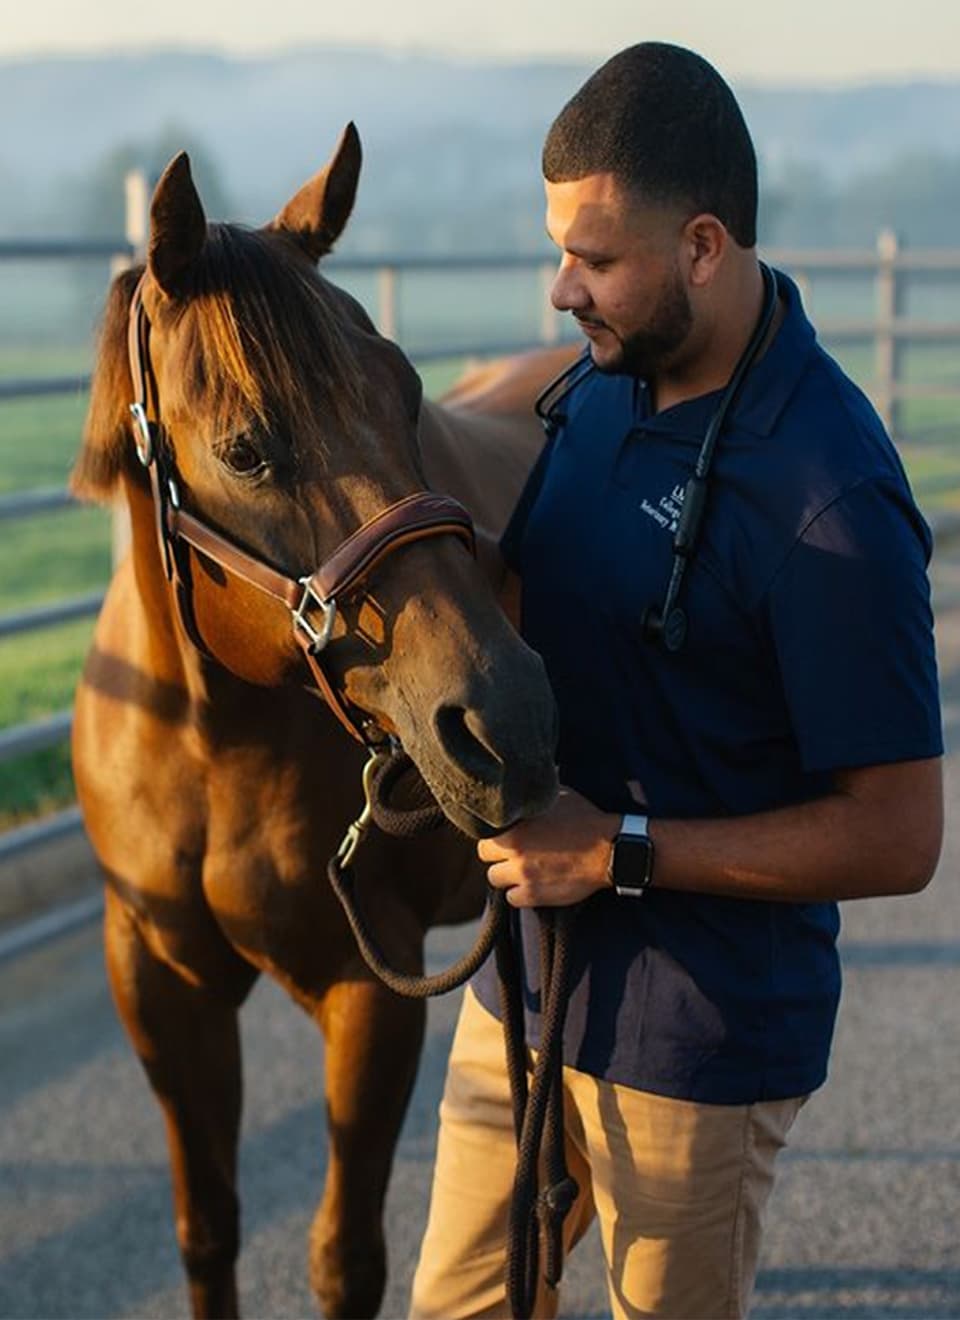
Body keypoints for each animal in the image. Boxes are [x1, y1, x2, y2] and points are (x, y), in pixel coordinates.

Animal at [70, 122, 576, 1319]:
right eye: (247, 449)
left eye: (405, 391)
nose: (509, 716)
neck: (205, 743)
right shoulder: (161, 986)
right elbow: (206, 1229)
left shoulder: (369, 992)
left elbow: (343, 1257)